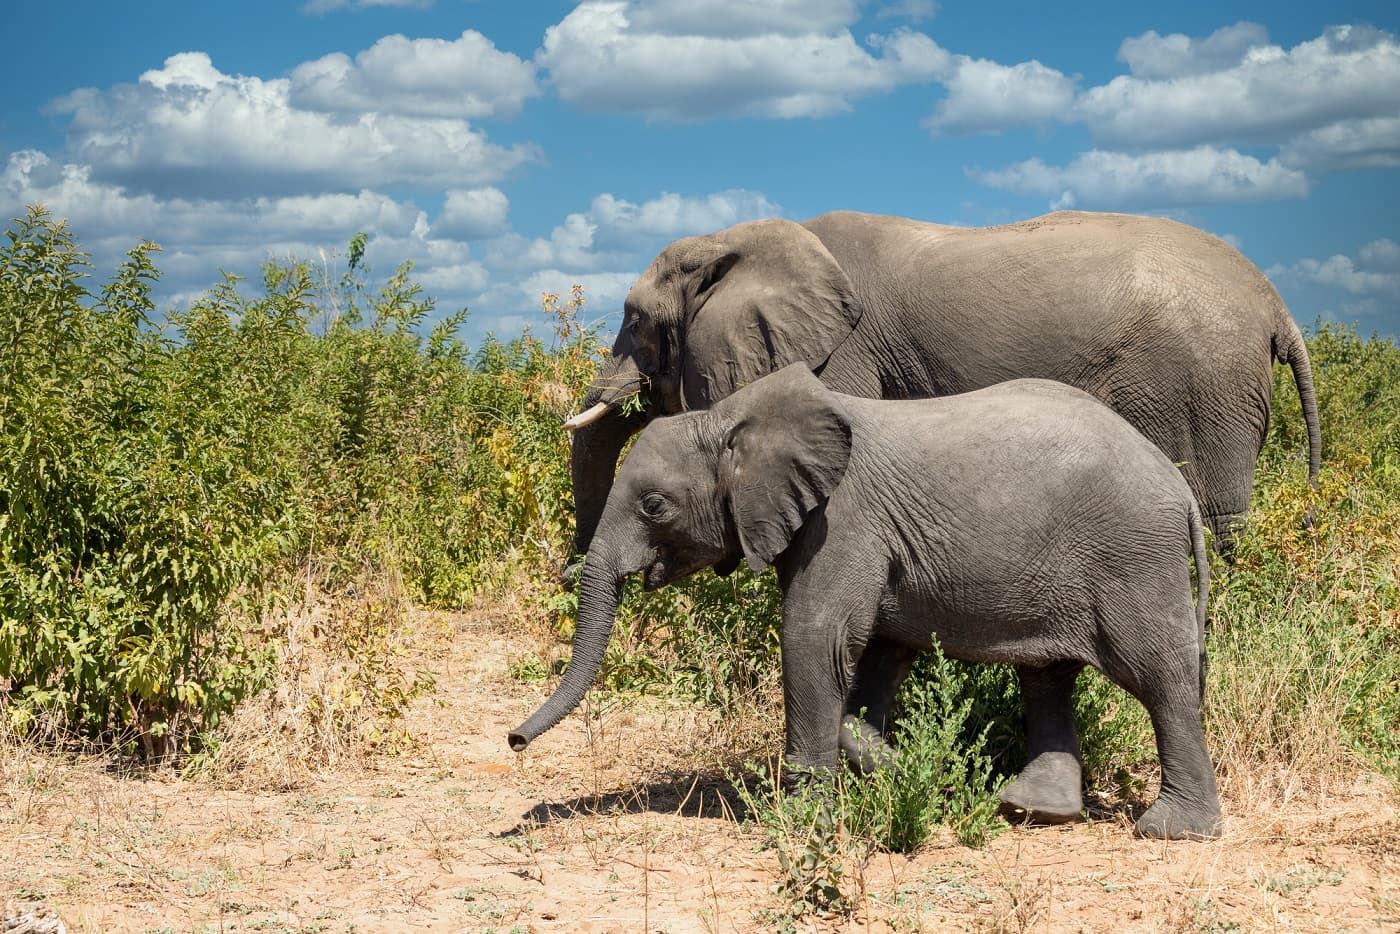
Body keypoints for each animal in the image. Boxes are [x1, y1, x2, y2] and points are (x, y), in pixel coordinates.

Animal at [509, 364, 1220, 840]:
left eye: (655, 506)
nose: (514, 740)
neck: (734, 416)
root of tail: (1179, 485)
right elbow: (878, 652)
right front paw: (913, 769)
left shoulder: (843, 521)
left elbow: (814, 639)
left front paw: (810, 816)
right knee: (1047, 677)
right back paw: (1032, 809)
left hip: (1132, 557)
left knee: (1160, 676)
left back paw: (1171, 830)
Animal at [562, 212, 1316, 576]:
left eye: (635, 320)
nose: (568, 579)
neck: (736, 238)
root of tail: (1275, 303)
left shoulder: (842, 354)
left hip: (1199, 384)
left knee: (1213, 514)